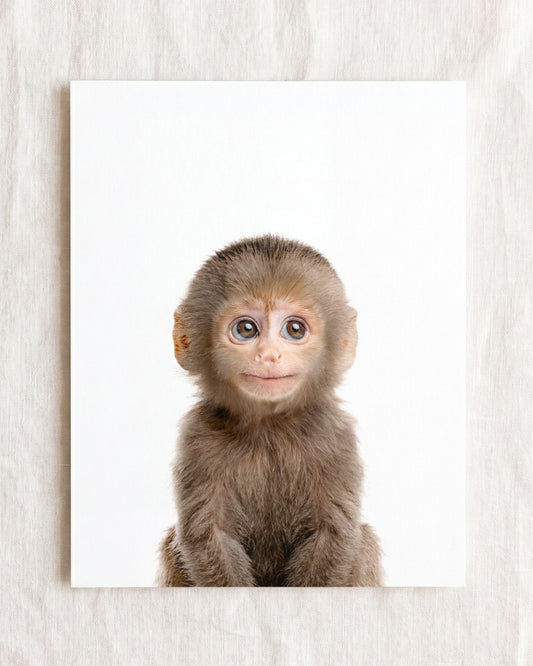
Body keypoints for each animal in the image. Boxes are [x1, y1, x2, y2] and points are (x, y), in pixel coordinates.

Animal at [158, 235, 382, 587]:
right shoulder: (198, 437)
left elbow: (332, 534)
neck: (270, 427)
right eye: (246, 329)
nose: (269, 355)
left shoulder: (336, 436)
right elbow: (209, 535)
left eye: (294, 330)